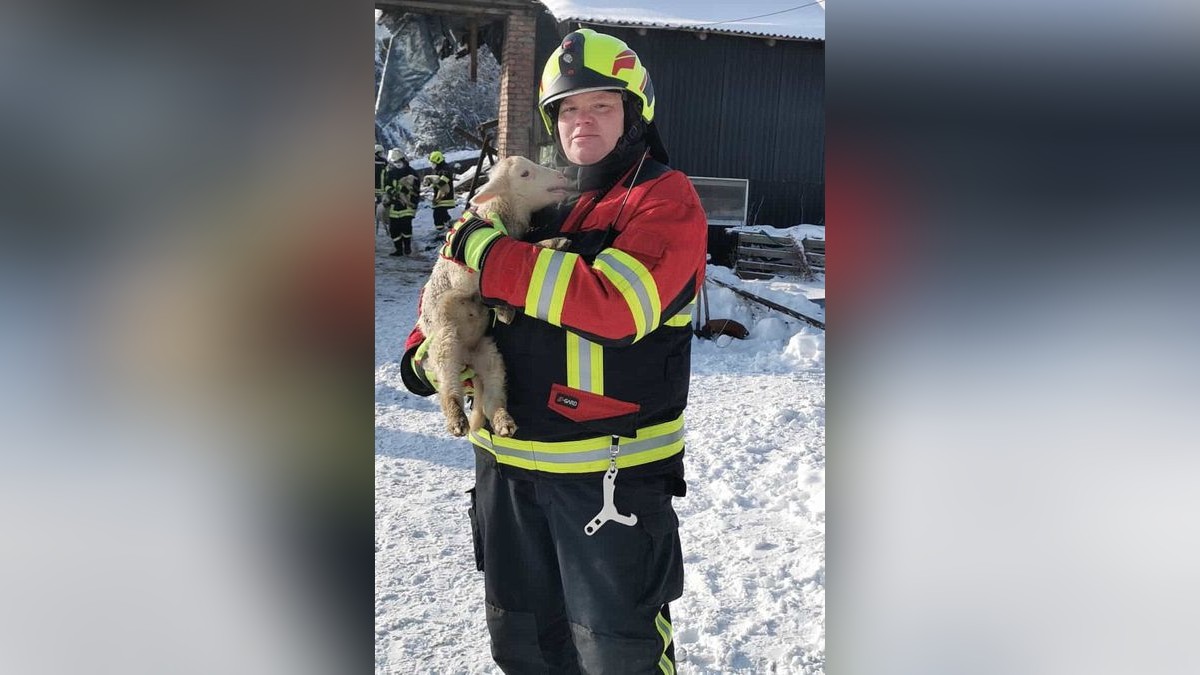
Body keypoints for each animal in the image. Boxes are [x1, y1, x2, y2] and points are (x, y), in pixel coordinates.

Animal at [417, 153, 571, 437]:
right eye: (524, 174)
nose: (562, 176)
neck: (498, 213)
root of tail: (468, 359)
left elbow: (515, 253)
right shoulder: (464, 271)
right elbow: (510, 253)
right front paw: (554, 242)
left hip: (490, 356)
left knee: (492, 398)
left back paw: (503, 421)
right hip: (445, 345)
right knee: (448, 389)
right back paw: (457, 419)